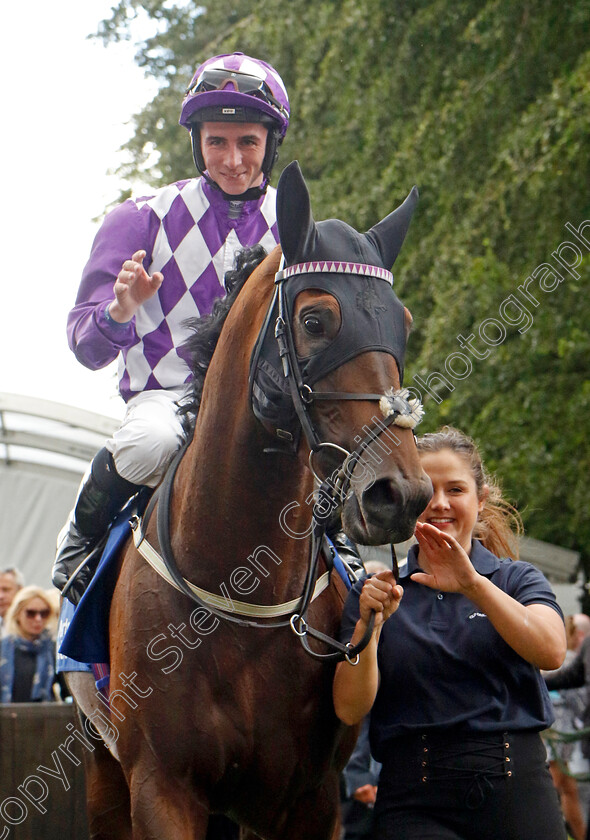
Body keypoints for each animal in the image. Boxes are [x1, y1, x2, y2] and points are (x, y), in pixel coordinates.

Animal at [71, 162, 432, 840]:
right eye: (315, 321)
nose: (401, 493)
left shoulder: (309, 799)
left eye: (403, 323)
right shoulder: (161, 787)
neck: (240, 587)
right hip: (105, 778)